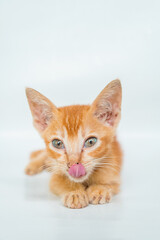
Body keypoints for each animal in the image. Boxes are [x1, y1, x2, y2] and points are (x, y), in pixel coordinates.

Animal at [25, 80, 122, 208]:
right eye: (57, 143)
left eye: (91, 142)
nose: (73, 165)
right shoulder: (55, 177)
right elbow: (61, 181)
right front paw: (75, 192)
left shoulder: (114, 171)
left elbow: (109, 183)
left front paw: (99, 189)